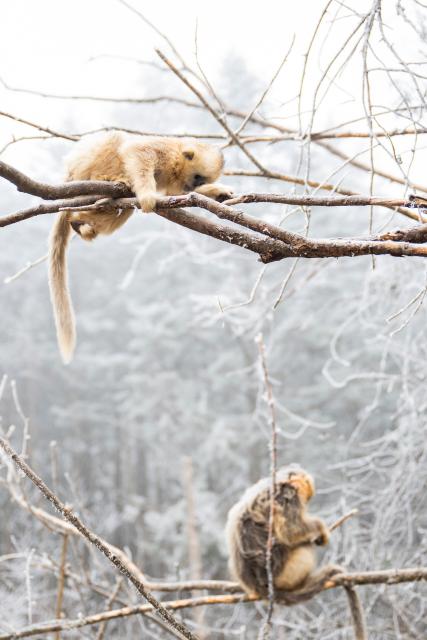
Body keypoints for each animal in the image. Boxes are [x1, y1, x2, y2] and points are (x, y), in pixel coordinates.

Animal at [48, 131, 234, 363]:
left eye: (203, 180)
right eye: (198, 177)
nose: (195, 187)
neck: (175, 161)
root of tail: (69, 175)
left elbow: (175, 194)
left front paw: (215, 192)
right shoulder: (163, 150)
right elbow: (137, 151)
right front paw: (146, 195)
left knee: (119, 208)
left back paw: (81, 223)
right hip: (85, 165)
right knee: (116, 138)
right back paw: (107, 181)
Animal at [226, 466, 367, 640]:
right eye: (304, 494)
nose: (306, 500)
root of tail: (259, 586)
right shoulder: (286, 495)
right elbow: (290, 531)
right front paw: (320, 529)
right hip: (287, 573)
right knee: (304, 546)